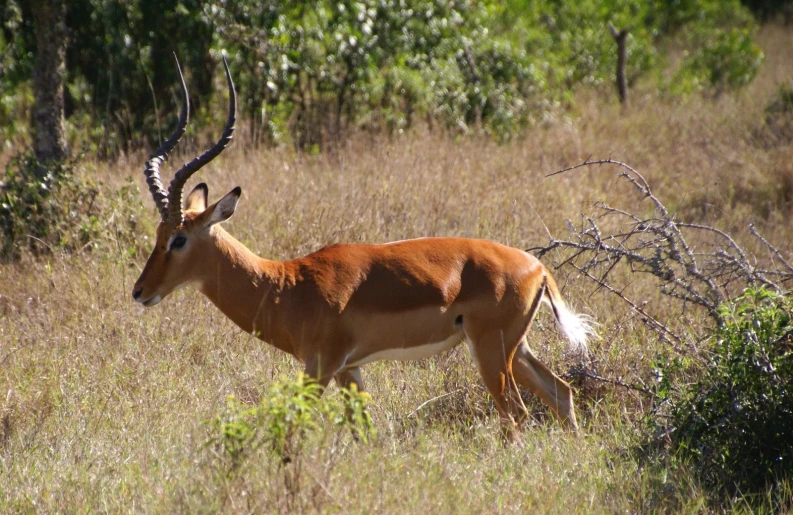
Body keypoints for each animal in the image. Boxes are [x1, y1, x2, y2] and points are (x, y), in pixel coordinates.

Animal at [133, 57, 592, 440]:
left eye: (179, 239)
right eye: (157, 234)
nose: (139, 291)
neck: (285, 285)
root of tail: (537, 267)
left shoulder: (320, 367)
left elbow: (295, 424)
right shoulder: (349, 370)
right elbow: (362, 431)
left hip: (490, 351)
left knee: (516, 412)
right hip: (516, 348)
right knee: (561, 393)